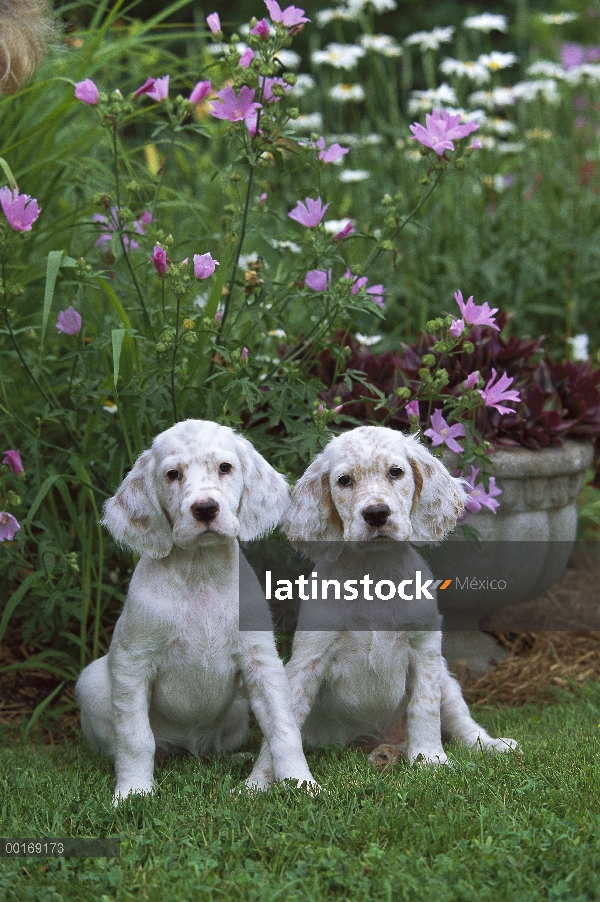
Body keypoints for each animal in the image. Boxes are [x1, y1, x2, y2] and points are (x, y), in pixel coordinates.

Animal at [77, 420, 316, 800]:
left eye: (225, 467)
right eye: (172, 474)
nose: (205, 509)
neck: (200, 572)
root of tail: (187, 746)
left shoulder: (261, 660)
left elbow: (282, 728)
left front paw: (300, 782)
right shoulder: (133, 663)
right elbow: (135, 738)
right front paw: (132, 792)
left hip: (237, 709)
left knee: (218, 746)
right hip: (93, 683)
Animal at [246, 428, 516, 788]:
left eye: (396, 472)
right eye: (344, 480)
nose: (376, 514)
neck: (374, 572)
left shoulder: (425, 651)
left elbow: (424, 709)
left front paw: (431, 760)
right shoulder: (306, 661)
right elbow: (281, 726)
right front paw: (258, 782)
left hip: (447, 682)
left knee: (462, 725)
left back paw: (490, 745)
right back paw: (386, 755)